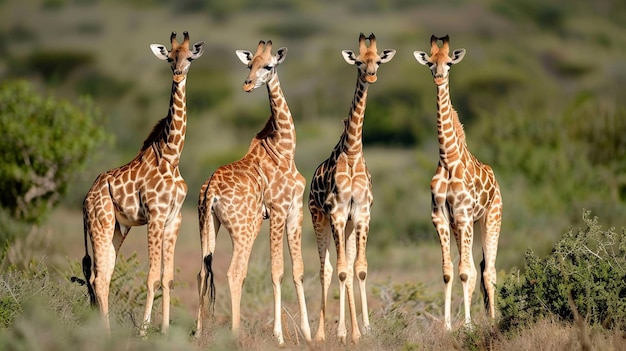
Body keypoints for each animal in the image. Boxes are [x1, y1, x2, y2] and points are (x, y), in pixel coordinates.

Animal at [81, 31, 205, 336]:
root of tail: (85, 198)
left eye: (189, 58)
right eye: (170, 58)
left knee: (103, 274)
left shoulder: (174, 219)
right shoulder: (155, 217)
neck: (171, 156)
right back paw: (106, 334)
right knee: (99, 277)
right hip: (101, 224)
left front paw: (165, 331)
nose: (177, 74)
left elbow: (167, 277)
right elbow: (151, 277)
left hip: (118, 228)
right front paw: (144, 331)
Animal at [196, 40, 310, 346]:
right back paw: (235, 335)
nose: (247, 84)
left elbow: (298, 270)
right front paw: (280, 336)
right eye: (249, 65)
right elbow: (277, 271)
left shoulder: (296, 210)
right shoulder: (280, 210)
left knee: (202, 272)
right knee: (235, 272)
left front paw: (309, 335)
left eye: (267, 65)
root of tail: (211, 191)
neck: (284, 149)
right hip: (246, 227)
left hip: (208, 224)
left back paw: (197, 332)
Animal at [308, 31, 394, 346]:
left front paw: (363, 331)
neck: (353, 150)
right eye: (358, 61)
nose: (371, 76)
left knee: (345, 265)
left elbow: (360, 269)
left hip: (346, 226)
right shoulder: (336, 212)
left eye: (377, 59)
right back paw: (323, 333)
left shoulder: (362, 213)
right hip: (319, 219)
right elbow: (342, 271)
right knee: (327, 269)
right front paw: (349, 333)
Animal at [414, 35, 502, 330]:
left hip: (491, 218)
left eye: (450, 63)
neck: (448, 159)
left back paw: (492, 321)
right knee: (477, 269)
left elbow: (464, 272)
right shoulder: (440, 216)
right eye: (430, 62)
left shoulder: (464, 215)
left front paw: (468, 326)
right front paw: (449, 326)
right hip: (461, 225)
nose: (439, 77)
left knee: (489, 271)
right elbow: (449, 271)